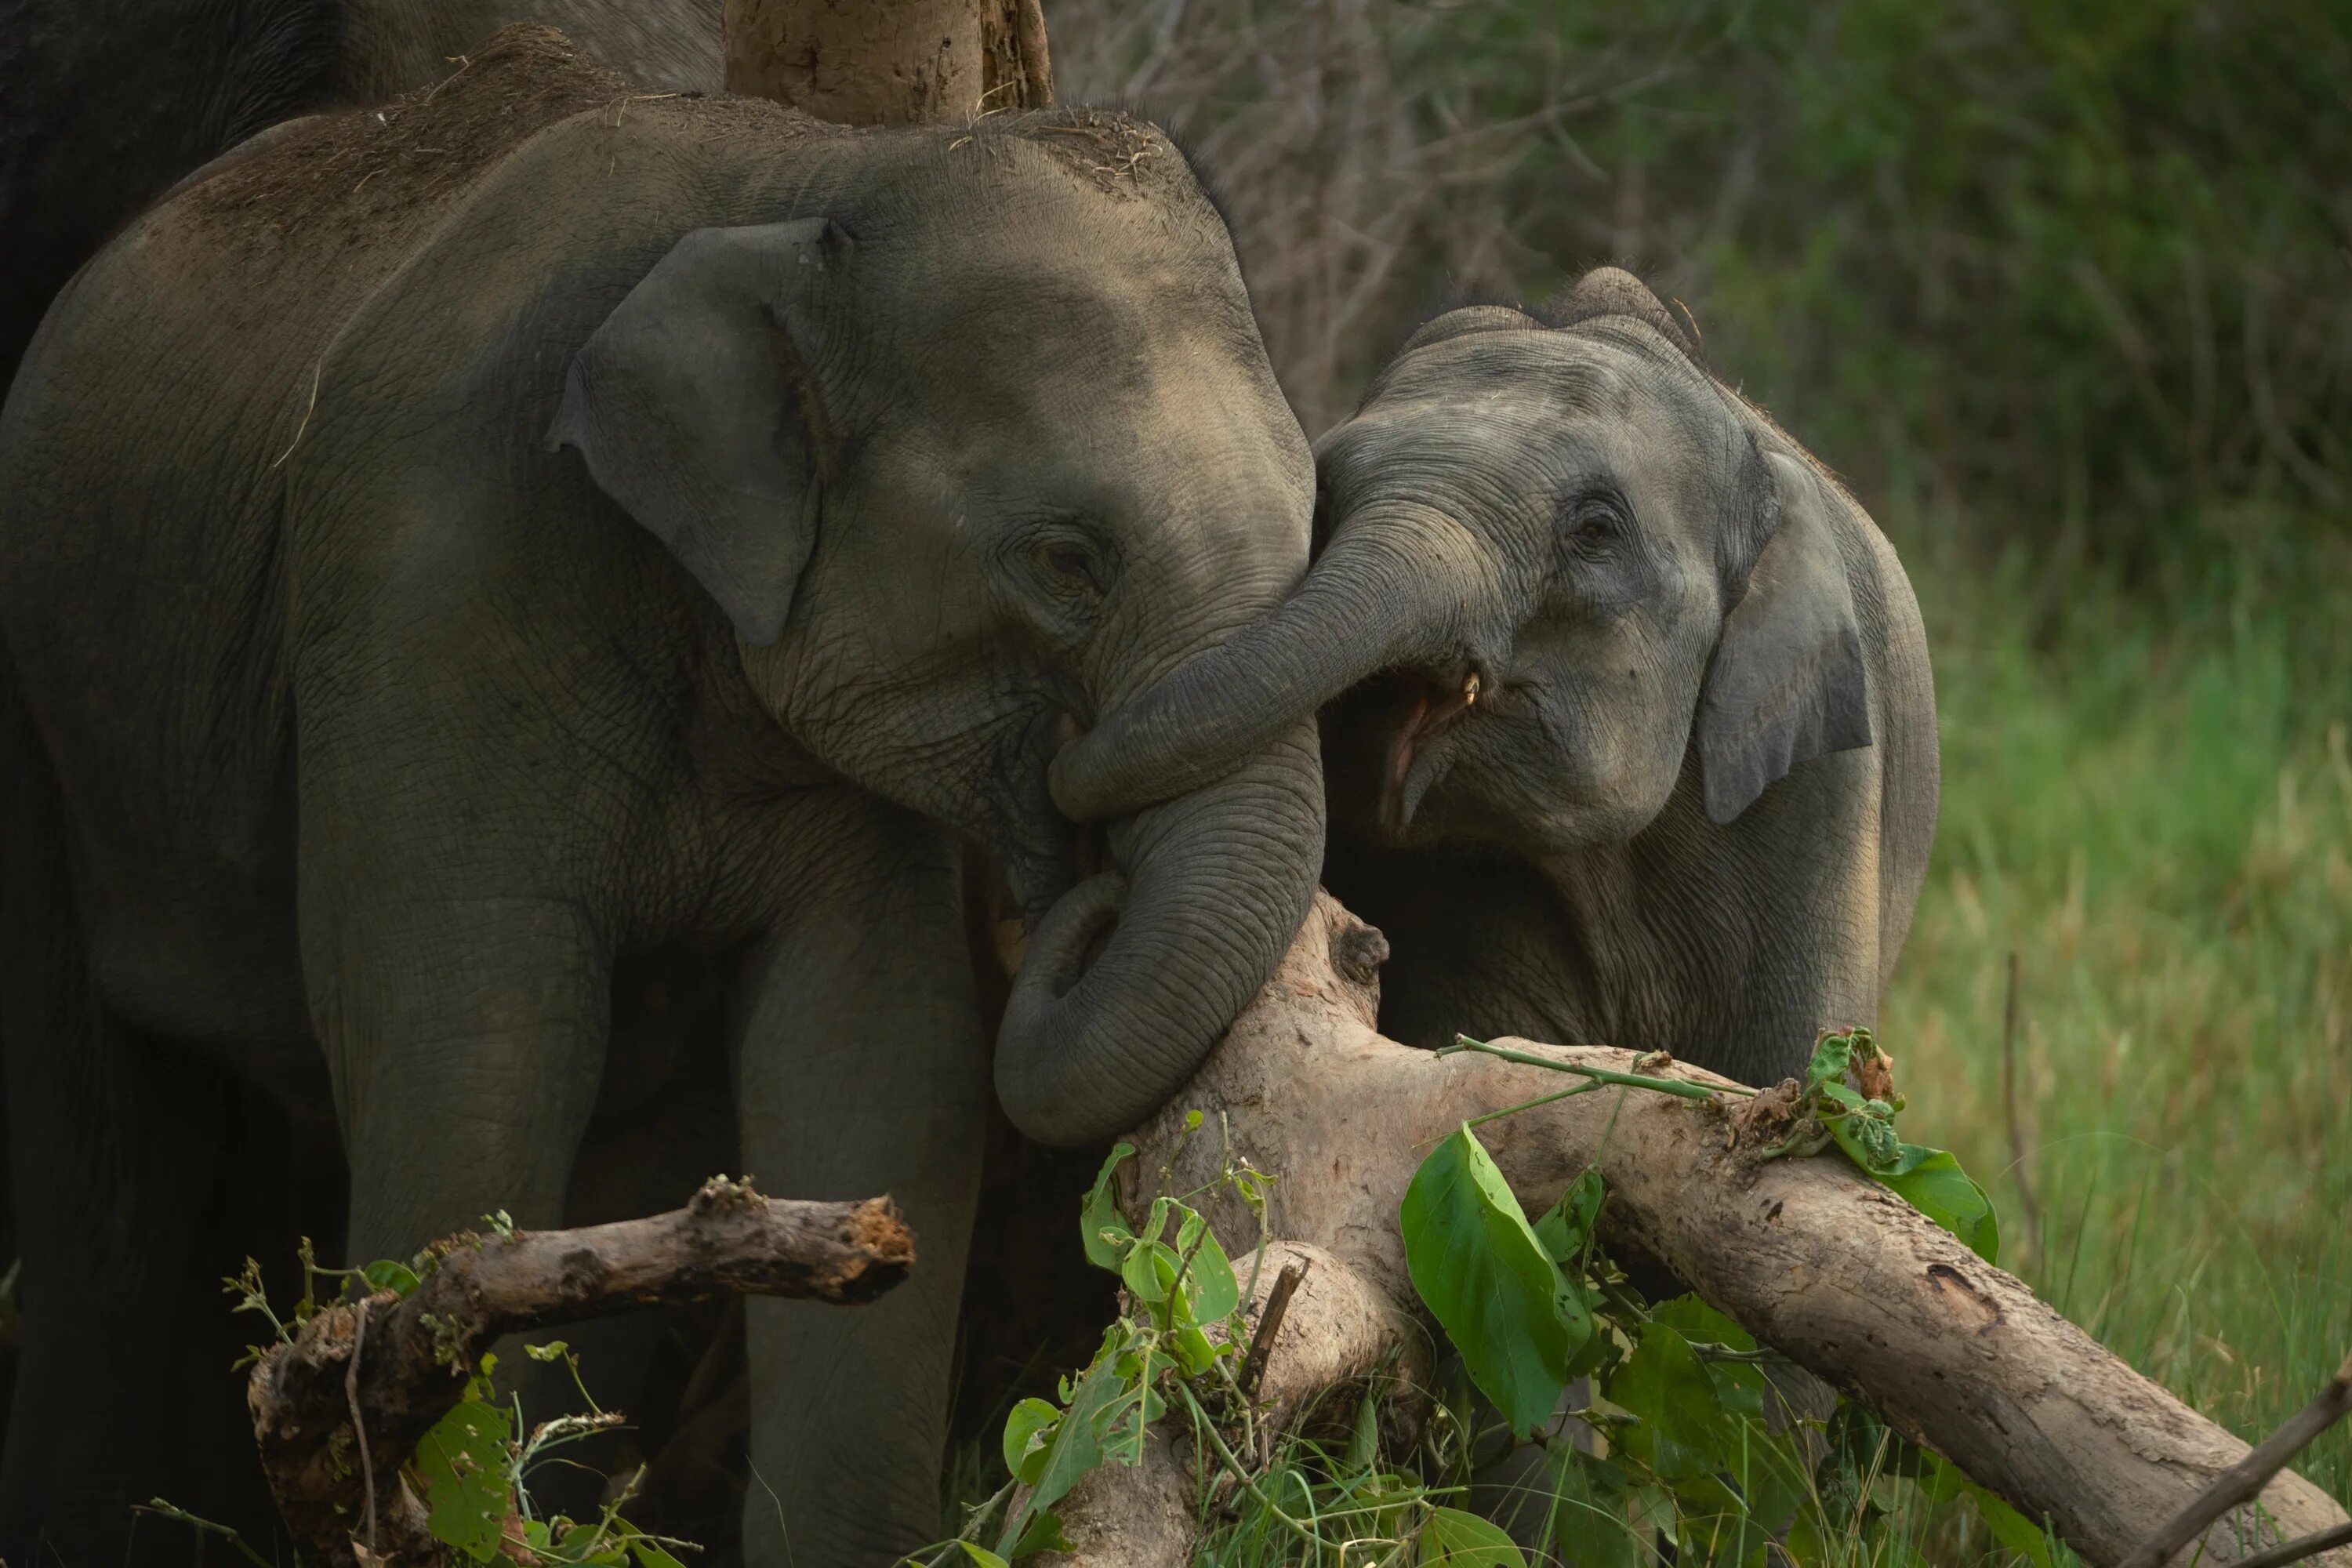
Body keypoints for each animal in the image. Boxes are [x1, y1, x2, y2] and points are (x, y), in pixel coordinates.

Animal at [0, 27, 1327, 1568]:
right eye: (1066, 560)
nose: (1082, 875)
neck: (809, 185)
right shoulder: (424, 584)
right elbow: (476, 1050)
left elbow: (876, 1057)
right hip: (43, 714)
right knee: (104, 1184)